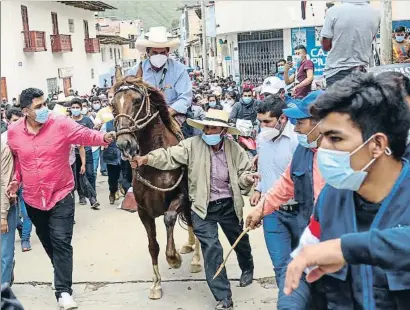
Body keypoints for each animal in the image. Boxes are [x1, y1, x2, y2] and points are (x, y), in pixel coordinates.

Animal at [110, 74, 202, 300]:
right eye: (113, 104)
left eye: (136, 101)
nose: (124, 143)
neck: (156, 160)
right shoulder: (143, 211)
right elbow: (153, 246)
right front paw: (156, 284)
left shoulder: (181, 198)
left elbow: (169, 218)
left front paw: (174, 258)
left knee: (193, 224)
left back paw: (195, 258)